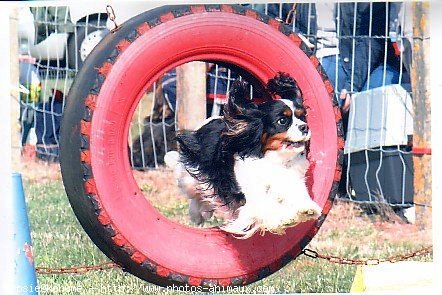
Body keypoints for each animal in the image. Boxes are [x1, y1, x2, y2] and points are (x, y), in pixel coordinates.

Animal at [166, 73, 322, 239]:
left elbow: (296, 194)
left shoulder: (290, 179)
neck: (274, 159)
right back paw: (196, 214)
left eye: (302, 117)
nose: (305, 127)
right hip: (191, 176)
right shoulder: (252, 192)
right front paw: (283, 218)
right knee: (195, 193)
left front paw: (306, 209)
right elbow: (266, 206)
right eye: (282, 120)